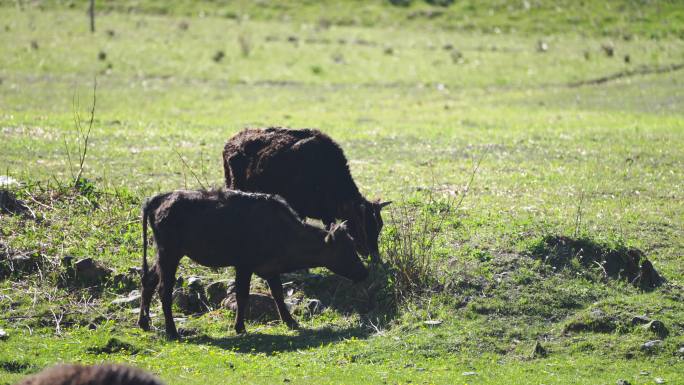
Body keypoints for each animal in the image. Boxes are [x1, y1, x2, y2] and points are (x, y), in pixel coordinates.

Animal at [138, 188, 368, 338]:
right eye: (347, 250)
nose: (363, 272)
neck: (280, 229)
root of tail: (161, 197)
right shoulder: (244, 265)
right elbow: (242, 295)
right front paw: (240, 327)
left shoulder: (271, 268)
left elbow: (278, 294)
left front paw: (291, 322)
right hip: (170, 254)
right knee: (164, 289)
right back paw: (171, 331)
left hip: (163, 255)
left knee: (149, 281)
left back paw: (144, 323)